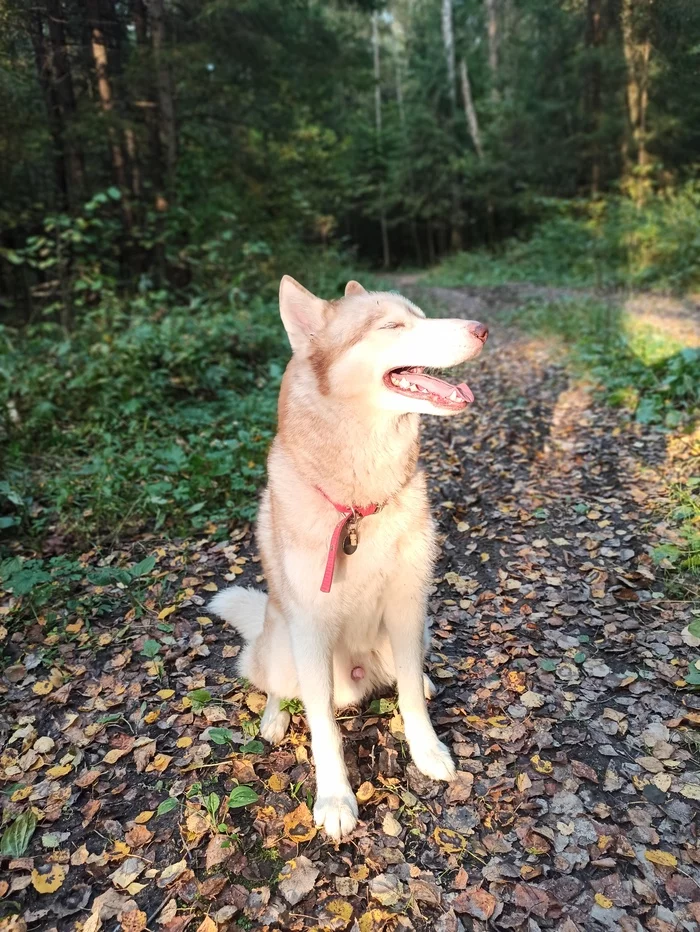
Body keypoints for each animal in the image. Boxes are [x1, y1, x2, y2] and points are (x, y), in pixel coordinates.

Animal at [211, 274, 490, 836]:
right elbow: (323, 728)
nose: (482, 329)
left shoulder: (407, 606)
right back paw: (273, 717)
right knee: (275, 684)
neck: (362, 501)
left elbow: (409, 699)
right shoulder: (311, 631)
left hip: (417, 629)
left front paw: (427, 749)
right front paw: (335, 798)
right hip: (283, 642)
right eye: (392, 326)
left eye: (420, 315)